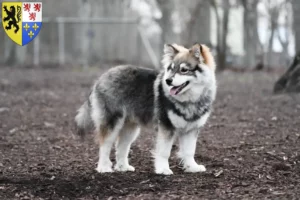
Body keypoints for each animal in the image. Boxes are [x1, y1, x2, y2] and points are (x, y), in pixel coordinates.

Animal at [74, 43, 217, 174]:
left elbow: (189, 151)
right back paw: (103, 168)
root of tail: (101, 77)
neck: (190, 100)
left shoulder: (192, 129)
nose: (168, 81)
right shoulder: (166, 127)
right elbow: (164, 152)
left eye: (184, 70)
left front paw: (192, 167)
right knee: (104, 146)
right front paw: (163, 169)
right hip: (112, 123)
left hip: (130, 128)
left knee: (121, 147)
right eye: (171, 69)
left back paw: (123, 167)